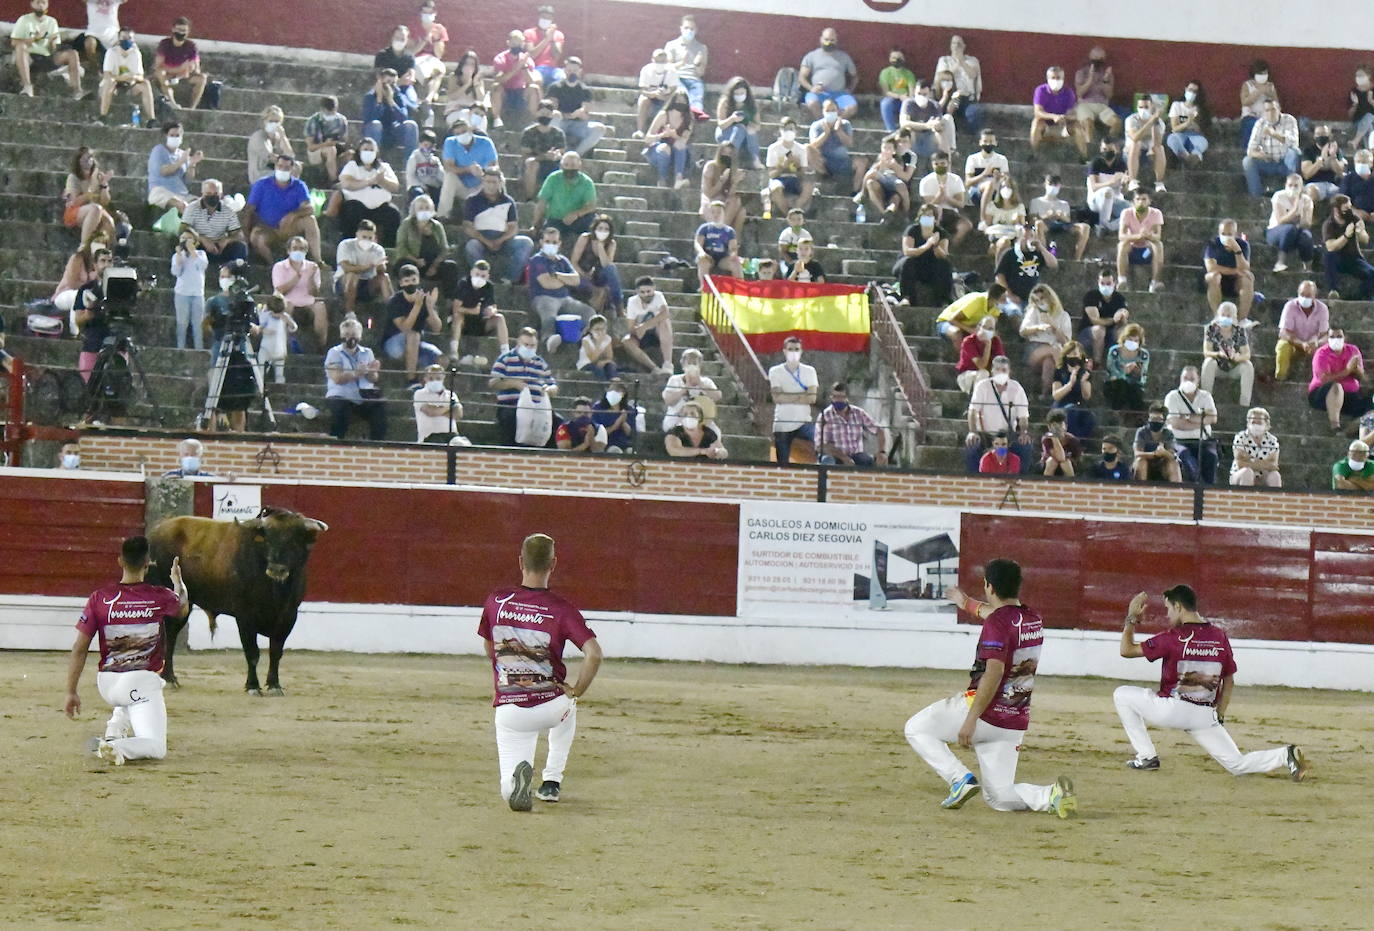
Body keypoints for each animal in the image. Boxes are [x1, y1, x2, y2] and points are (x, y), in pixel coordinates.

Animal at [147, 508, 327, 697]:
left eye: (294, 540)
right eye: (268, 539)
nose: (277, 569)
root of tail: (156, 531)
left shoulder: (288, 616)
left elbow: (276, 652)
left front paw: (274, 685)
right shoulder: (245, 616)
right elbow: (252, 653)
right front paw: (253, 686)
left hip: (185, 603)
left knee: (171, 634)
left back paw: (169, 677)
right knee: (169, 635)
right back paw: (168, 678)